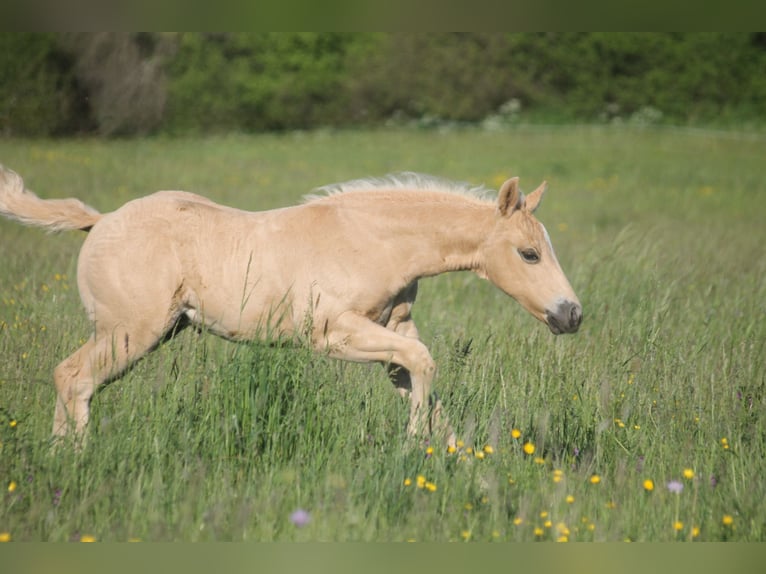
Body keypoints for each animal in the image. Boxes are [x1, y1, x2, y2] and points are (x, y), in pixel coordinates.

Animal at [0, 165, 582, 447]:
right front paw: (416, 447)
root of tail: (100, 221)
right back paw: (76, 463)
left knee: (69, 379)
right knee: (74, 378)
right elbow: (427, 367)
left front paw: (461, 466)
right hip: (129, 332)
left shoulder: (395, 334)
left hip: (146, 333)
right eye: (529, 253)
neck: (376, 239)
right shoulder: (334, 333)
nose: (571, 315)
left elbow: (426, 381)